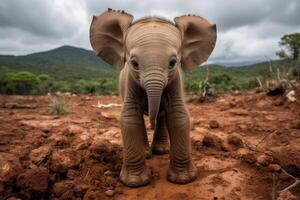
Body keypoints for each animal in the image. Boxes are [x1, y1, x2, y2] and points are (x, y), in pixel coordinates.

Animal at [89, 8, 216, 188]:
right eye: (134, 64)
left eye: (173, 63)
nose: (151, 122)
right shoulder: (130, 82)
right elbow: (130, 117)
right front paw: (136, 183)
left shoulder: (176, 80)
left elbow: (178, 116)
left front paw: (183, 180)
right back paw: (147, 153)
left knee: (162, 115)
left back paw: (161, 151)